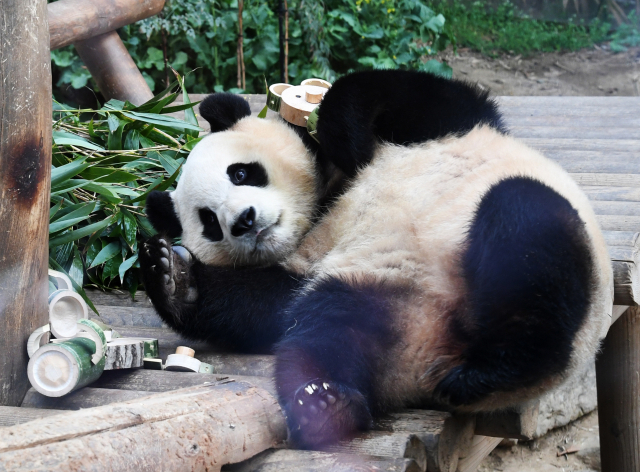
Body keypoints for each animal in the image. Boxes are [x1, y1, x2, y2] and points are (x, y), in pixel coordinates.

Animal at [141, 69, 616, 446]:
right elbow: (263, 307)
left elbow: (400, 94)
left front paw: (340, 134)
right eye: (208, 221)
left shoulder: (446, 125)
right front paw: (173, 277)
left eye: (241, 173)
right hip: (368, 291)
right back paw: (326, 404)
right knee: (323, 334)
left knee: (523, 221)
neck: (324, 206)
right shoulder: (307, 263)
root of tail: (438, 354)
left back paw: (499, 367)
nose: (243, 221)